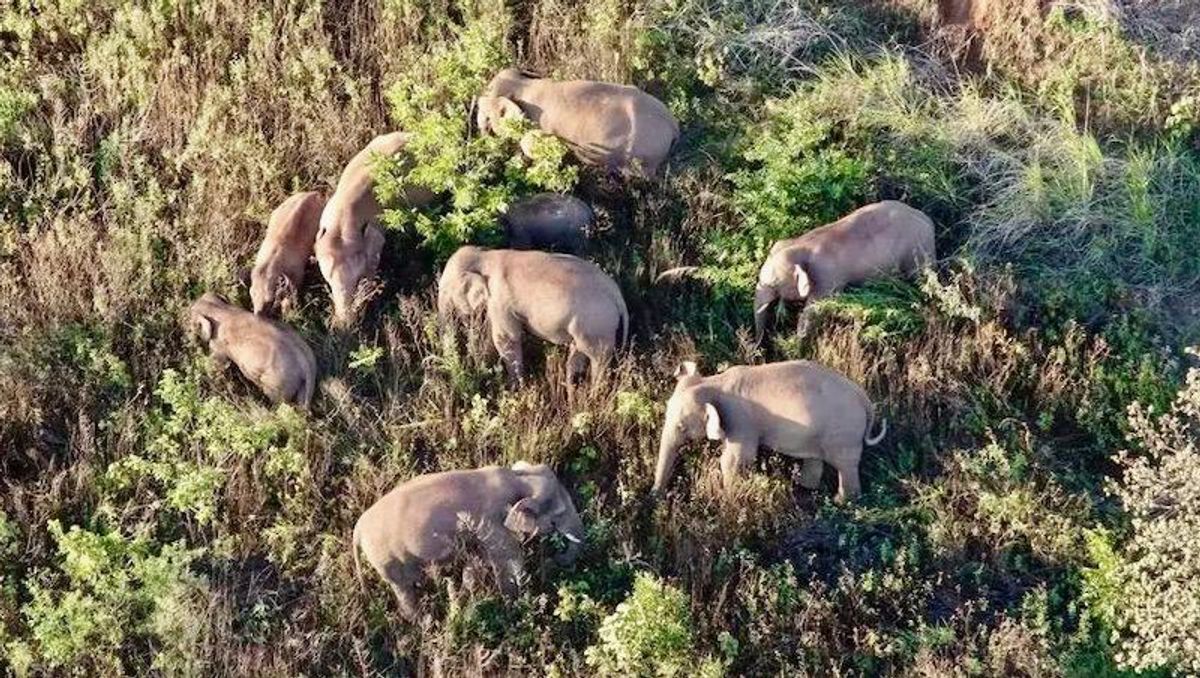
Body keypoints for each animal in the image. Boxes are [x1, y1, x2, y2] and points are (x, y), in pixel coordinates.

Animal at [188, 293, 317, 408]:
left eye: (191, 320)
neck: (220, 309)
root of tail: (307, 366)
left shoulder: (219, 343)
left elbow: (217, 363)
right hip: (302, 385)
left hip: (279, 383)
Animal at [351, 461, 585, 621]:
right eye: (556, 518)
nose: (554, 559)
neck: (517, 478)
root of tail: (357, 529)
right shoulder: (491, 522)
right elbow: (507, 557)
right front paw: (514, 604)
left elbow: (477, 559)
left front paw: (465, 597)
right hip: (387, 558)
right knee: (403, 588)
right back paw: (425, 622)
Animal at [437, 245, 629, 386]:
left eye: (445, 290)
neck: (484, 255)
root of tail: (618, 295)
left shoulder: (500, 300)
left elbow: (506, 338)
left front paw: (515, 387)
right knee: (578, 352)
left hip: (597, 326)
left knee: (598, 359)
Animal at [653, 360, 887, 502]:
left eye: (681, 427)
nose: (656, 497)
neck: (714, 382)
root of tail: (865, 400)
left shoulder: (741, 420)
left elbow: (735, 460)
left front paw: (729, 498)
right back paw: (805, 490)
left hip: (844, 433)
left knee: (845, 465)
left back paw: (842, 502)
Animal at [754, 200, 936, 344]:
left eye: (774, 285)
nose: (761, 345)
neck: (801, 243)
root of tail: (927, 220)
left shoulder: (827, 278)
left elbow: (814, 308)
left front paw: (796, 343)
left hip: (917, 252)